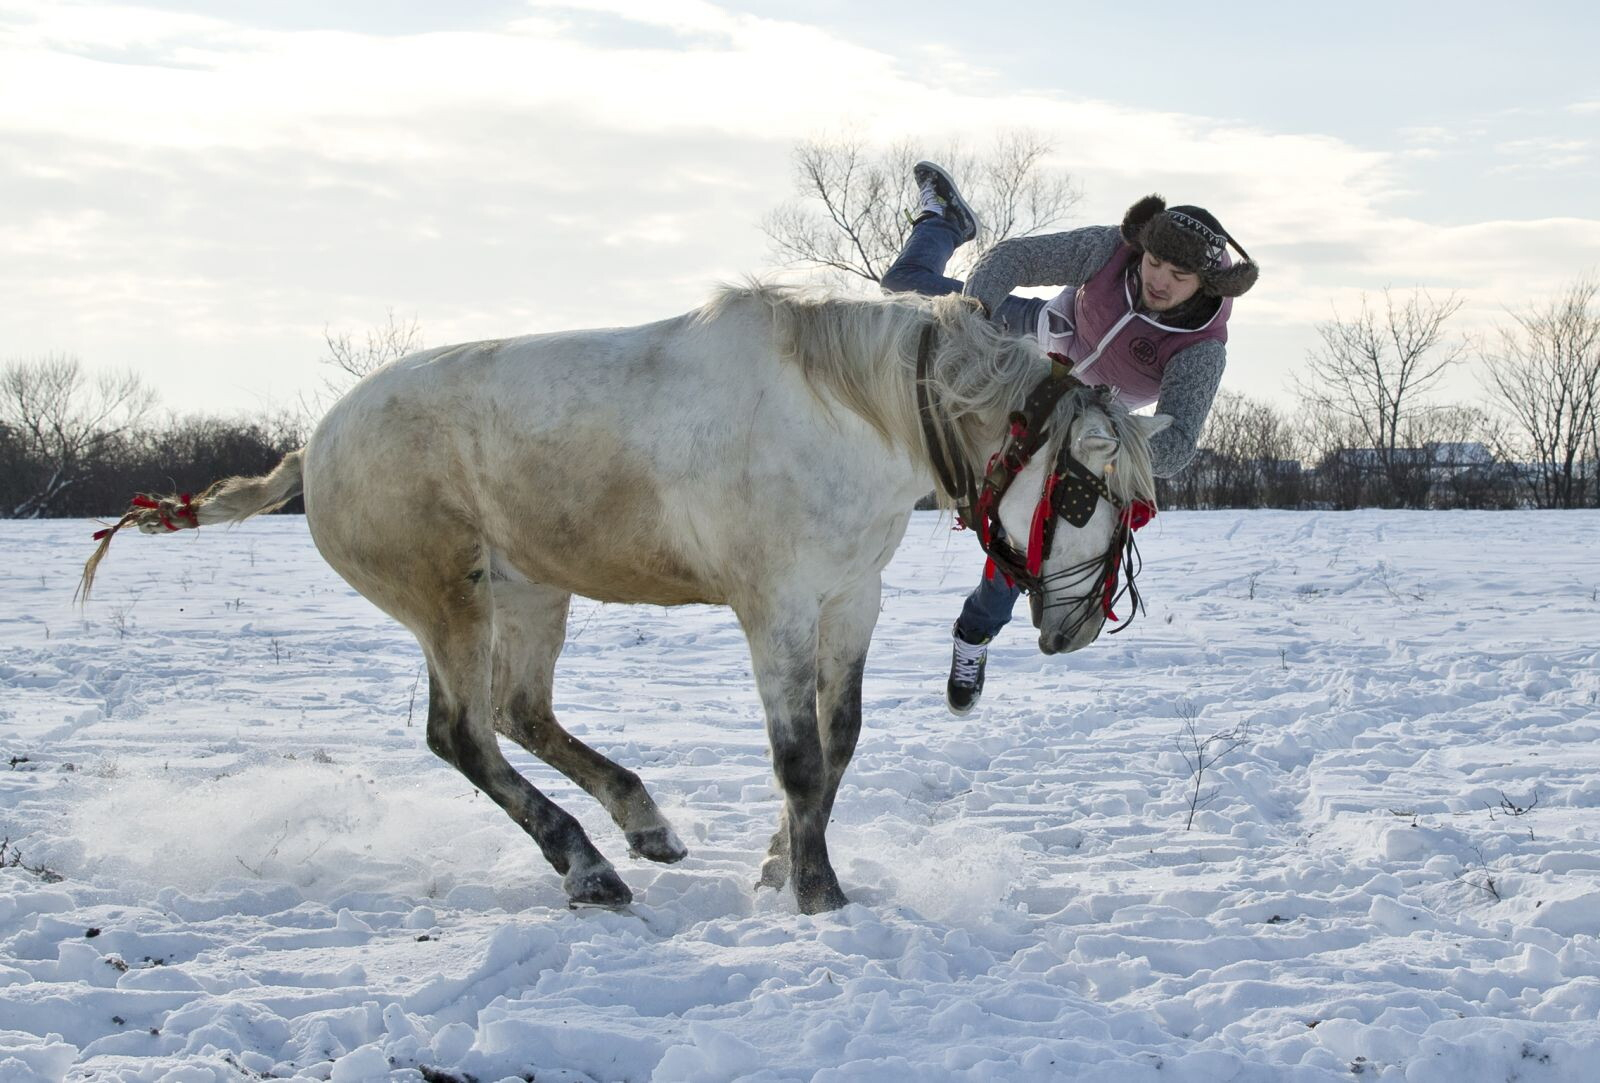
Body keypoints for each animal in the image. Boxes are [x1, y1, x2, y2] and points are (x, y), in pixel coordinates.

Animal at [79, 284, 1168, 914]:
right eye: (1080, 493)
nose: (1078, 623)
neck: (846, 415)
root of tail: (314, 445)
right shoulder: (774, 605)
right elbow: (798, 757)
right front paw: (815, 890)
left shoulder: (850, 600)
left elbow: (839, 744)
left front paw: (780, 864)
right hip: (447, 598)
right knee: (462, 733)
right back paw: (587, 865)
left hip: (529, 593)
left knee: (518, 712)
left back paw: (641, 825)